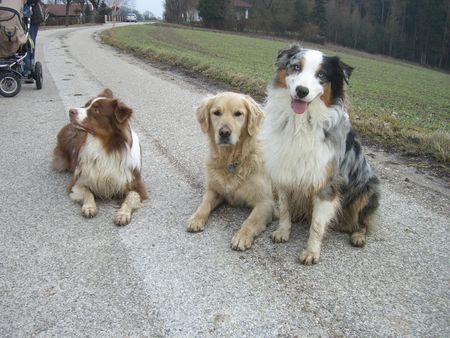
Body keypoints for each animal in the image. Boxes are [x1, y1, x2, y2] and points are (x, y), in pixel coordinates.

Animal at [52, 88, 148, 226]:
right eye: (86, 105)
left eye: (96, 110)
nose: (71, 111)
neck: (104, 148)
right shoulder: (76, 182)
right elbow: (88, 192)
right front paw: (89, 207)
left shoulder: (137, 185)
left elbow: (130, 198)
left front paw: (123, 214)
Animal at [187, 91, 278, 250]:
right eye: (216, 112)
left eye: (238, 114)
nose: (224, 132)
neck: (231, 160)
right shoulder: (214, 191)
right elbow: (204, 204)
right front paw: (196, 218)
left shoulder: (265, 203)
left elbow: (251, 220)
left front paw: (242, 236)